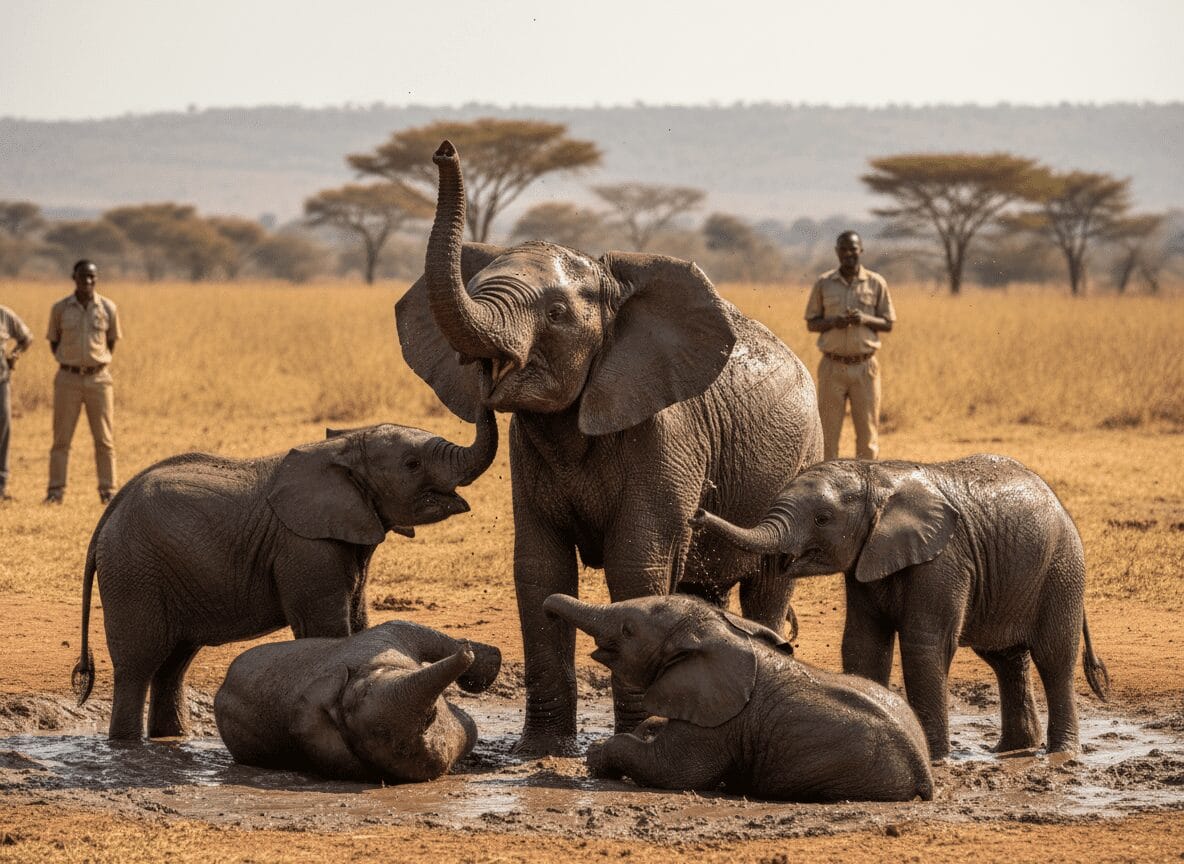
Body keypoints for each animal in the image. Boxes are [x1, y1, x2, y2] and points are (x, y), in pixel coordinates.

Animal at [71, 398, 497, 740]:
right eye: (412, 464)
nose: (488, 370)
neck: (344, 450)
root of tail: (107, 517)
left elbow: (359, 622)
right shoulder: (305, 547)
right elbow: (327, 629)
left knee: (173, 664)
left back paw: (171, 739)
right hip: (133, 572)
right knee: (138, 665)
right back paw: (127, 746)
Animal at [394, 141, 823, 755]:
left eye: (555, 315)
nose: (444, 148)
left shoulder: (667, 434)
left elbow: (634, 566)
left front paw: (635, 736)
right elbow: (539, 571)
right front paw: (541, 751)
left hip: (800, 459)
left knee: (767, 585)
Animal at [544, 593, 933, 802]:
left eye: (628, 630)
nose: (546, 611)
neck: (722, 630)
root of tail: (924, 772)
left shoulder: (719, 722)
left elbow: (672, 772)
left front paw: (595, 757)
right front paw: (647, 728)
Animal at [691, 454, 1110, 758]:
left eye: (822, 519)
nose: (698, 510)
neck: (876, 478)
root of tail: (1060, 506)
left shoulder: (943, 560)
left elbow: (924, 645)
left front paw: (935, 757)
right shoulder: (868, 560)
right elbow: (863, 644)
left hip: (1062, 571)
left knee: (1053, 658)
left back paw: (1061, 755)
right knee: (1006, 659)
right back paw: (1010, 751)